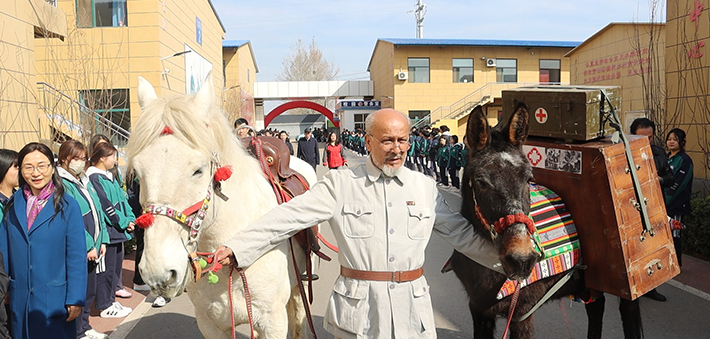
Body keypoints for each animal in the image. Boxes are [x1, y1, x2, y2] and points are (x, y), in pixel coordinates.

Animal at [127, 75, 314, 339]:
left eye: (198, 170)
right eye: (137, 172)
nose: (158, 271)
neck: (235, 250)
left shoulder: (272, 321)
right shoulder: (210, 324)